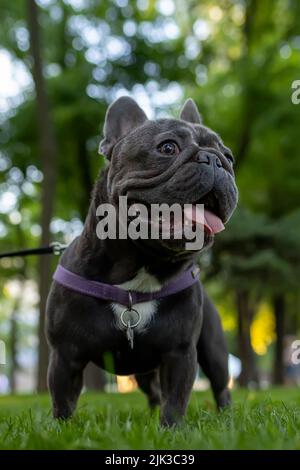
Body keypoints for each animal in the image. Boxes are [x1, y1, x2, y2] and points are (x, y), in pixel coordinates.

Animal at [45, 97, 238, 428]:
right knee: (153, 392)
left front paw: (171, 430)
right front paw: (60, 431)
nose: (215, 160)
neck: (142, 268)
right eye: (168, 147)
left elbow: (176, 400)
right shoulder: (65, 356)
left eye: (229, 158)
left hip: (212, 349)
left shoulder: (180, 353)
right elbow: (63, 402)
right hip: (144, 372)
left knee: (219, 384)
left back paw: (226, 417)